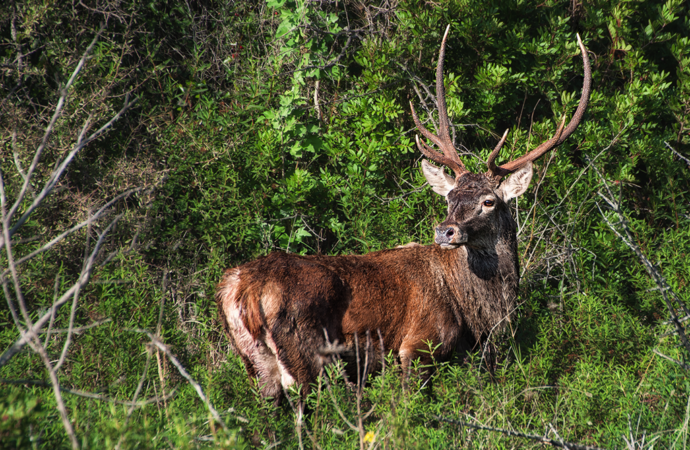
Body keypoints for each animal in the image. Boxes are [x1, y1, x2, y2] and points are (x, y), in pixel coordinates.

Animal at [216, 27, 591, 403]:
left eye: (488, 201)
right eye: (450, 197)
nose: (445, 231)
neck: (477, 316)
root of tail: (240, 290)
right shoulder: (420, 344)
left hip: (255, 361)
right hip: (306, 355)